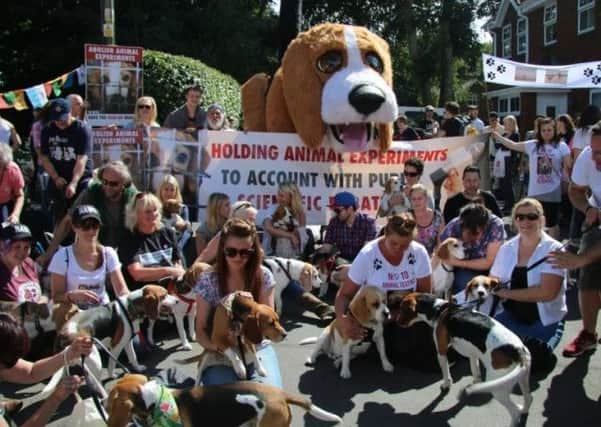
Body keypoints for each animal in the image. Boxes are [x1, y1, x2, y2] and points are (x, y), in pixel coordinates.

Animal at [398, 294, 528, 427]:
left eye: (402, 308)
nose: (397, 322)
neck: (438, 309)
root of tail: (517, 350)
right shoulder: (473, 354)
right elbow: (475, 372)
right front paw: (475, 384)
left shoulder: (441, 351)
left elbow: (446, 372)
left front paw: (446, 384)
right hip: (522, 379)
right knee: (529, 399)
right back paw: (525, 409)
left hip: (499, 388)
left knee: (515, 411)